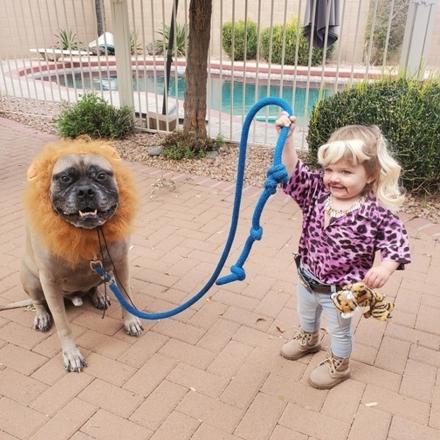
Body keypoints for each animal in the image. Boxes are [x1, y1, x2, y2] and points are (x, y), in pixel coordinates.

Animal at [21, 138, 144, 372]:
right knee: (38, 301)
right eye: (65, 178)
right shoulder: (49, 280)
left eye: (101, 176)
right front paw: (71, 354)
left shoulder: (121, 263)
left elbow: (127, 296)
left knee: (95, 287)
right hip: (31, 279)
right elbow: (63, 325)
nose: (85, 191)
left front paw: (130, 321)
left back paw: (99, 297)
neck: (87, 234)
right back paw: (42, 316)